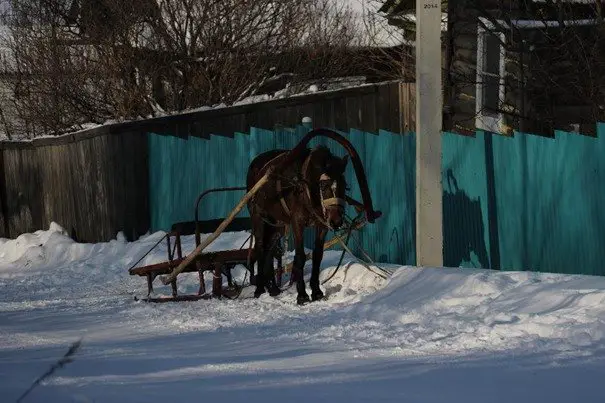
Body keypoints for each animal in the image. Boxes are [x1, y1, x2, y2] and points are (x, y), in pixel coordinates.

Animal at [247, 145, 350, 306]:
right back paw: (259, 289)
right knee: (260, 247)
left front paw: (317, 292)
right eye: (323, 185)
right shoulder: (297, 222)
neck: (304, 187)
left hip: (277, 225)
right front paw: (302, 295)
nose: (336, 221)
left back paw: (272, 288)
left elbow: (317, 255)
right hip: (258, 218)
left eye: (344, 185)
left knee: (269, 249)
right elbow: (300, 256)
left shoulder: (321, 225)